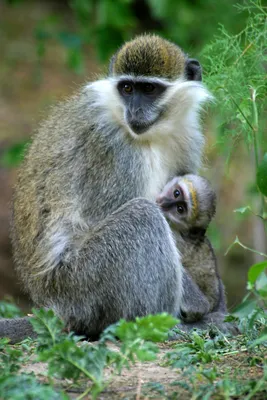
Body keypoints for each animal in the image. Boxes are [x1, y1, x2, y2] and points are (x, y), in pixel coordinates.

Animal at [1, 34, 214, 342]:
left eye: (149, 89)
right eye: (127, 88)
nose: (134, 111)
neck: (152, 135)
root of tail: (51, 306)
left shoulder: (188, 137)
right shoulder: (113, 150)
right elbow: (100, 216)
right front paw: (198, 305)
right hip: (82, 285)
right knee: (143, 216)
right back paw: (156, 326)